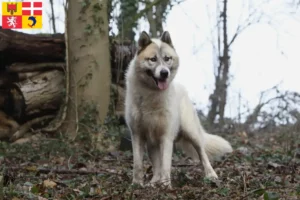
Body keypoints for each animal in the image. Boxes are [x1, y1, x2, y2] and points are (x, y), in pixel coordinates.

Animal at [123, 31, 232, 188]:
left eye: (167, 59)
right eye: (153, 59)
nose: (164, 73)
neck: (151, 94)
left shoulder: (166, 137)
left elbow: (166, 165)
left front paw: (166, 186)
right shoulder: (137, 135)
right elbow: (138, 164)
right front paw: (137, 185)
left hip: (192, 134)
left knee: (203, 154)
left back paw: (211, 175)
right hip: (152, 144)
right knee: (156, 166)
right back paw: (153, 182)